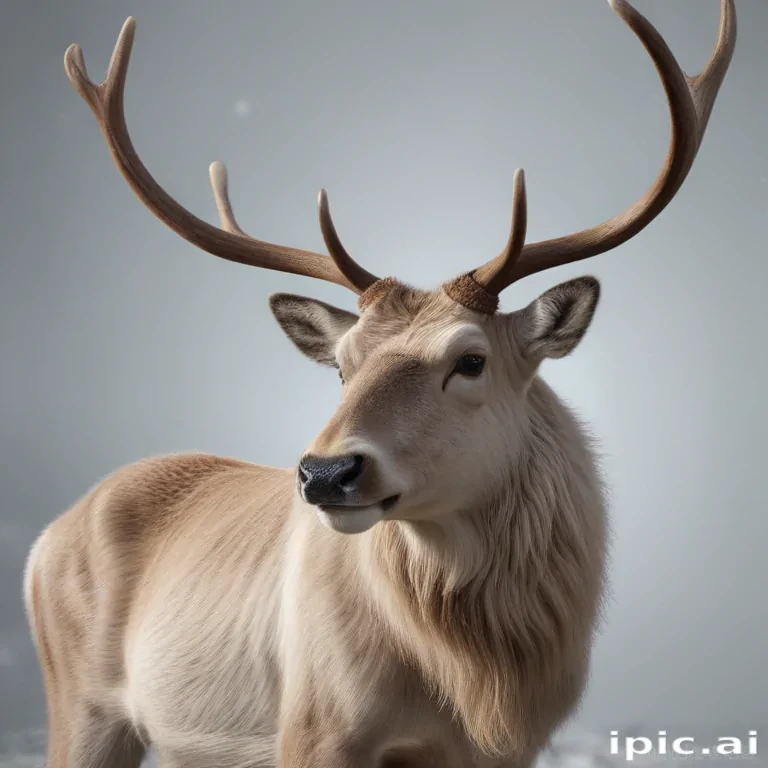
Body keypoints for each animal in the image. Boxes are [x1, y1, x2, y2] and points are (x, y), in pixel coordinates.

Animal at [22, 1, 736, 766]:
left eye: (471, 360)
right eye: (342, 364)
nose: (326, 472)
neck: (482, 688)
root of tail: (43, 541)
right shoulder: (313, 727)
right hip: (81, 703)